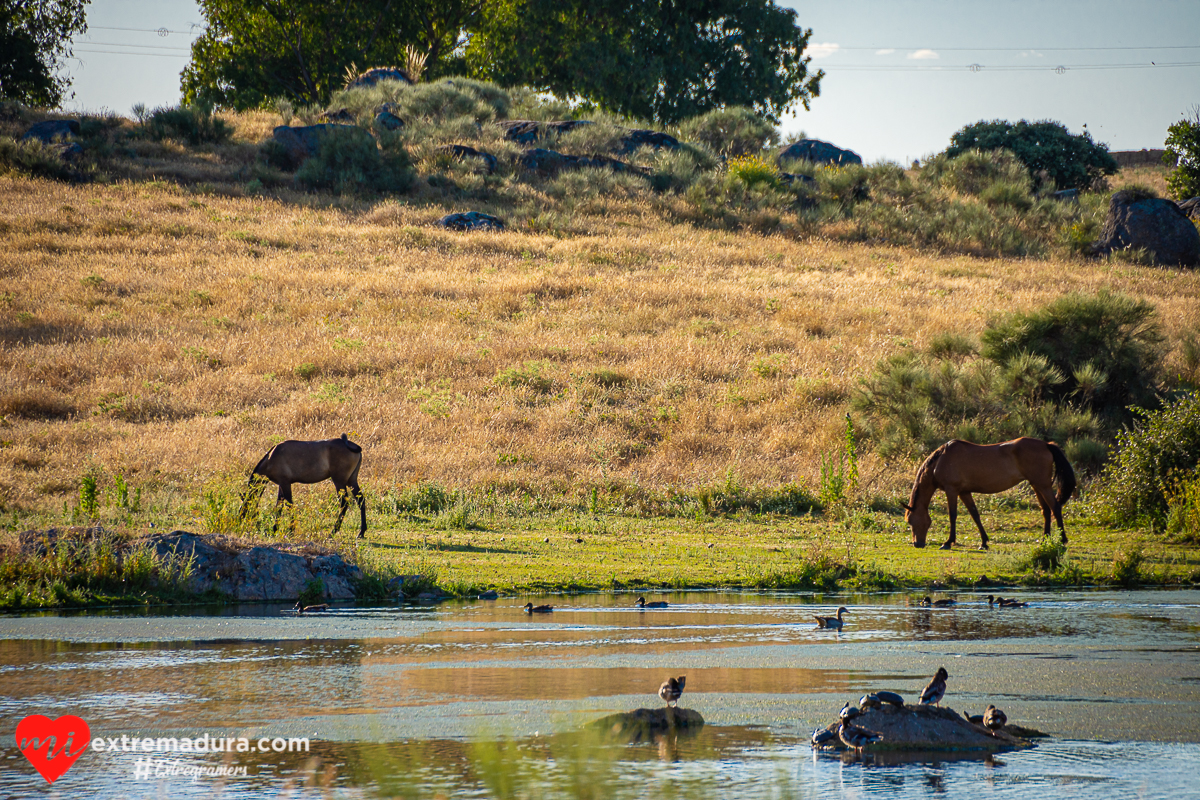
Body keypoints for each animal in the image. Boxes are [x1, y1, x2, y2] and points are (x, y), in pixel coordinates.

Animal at [902, 438, 1080, 551]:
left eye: (910, 521)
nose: (917, 544)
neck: (941, 459)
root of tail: (1046, 444)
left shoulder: (951, 490)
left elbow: (953, 516)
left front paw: (948, 542)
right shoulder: (964, 492)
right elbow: (975, 515)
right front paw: (984, 542)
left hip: (1042, 484)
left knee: (1055, 507)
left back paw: (1062, 540)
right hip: (1036, 485)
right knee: (1046, 510)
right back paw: (1044, 540)